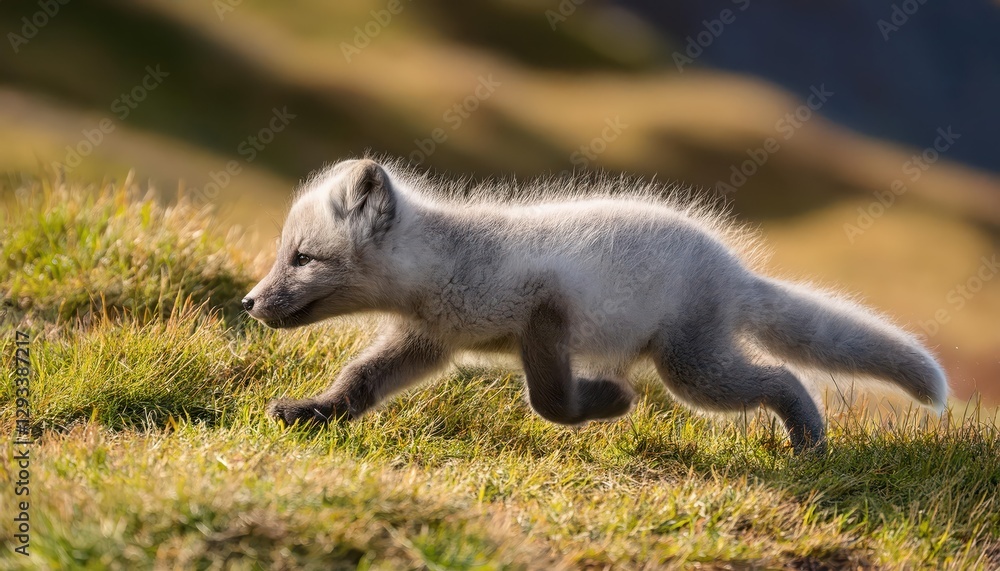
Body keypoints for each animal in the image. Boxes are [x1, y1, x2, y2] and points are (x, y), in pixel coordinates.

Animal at [242, 157, 949, 454]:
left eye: (301, 258)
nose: (249, 302)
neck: (455, 261)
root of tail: (733, 269)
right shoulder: (429, 342)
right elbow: (361, 381)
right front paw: (311, 413)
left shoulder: (546, 316)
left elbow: (550, 402)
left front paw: (611, 401)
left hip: (691, 371)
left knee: (783, 376)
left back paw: (808, 442)